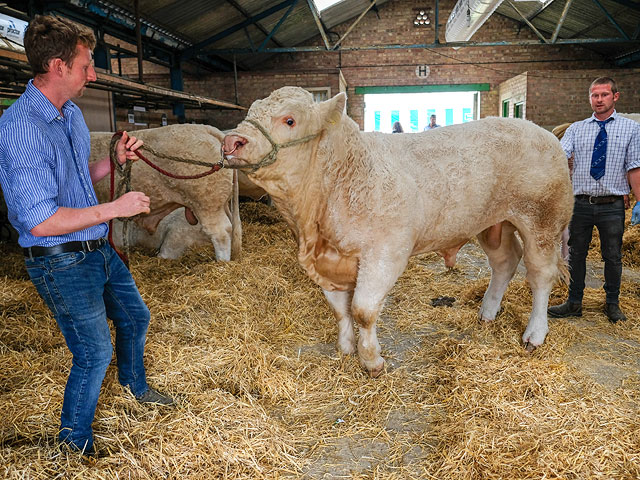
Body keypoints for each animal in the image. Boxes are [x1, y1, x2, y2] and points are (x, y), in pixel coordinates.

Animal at [222, 88, 572, 376]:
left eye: (290, 120)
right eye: (250, 111)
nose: (231, 142)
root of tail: (544, 133)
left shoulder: (385, 254)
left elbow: (362, 310)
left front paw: (371, 361)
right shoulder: (328, 263)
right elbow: (339, 309)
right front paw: (346, 347)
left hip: (543, 219)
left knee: (541, 275)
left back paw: (534, 334)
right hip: (491, 223)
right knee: (505, 262)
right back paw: (486, 312)